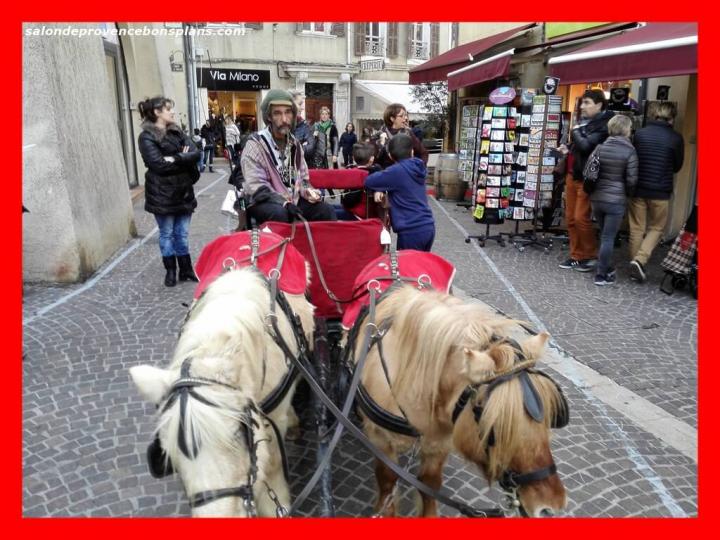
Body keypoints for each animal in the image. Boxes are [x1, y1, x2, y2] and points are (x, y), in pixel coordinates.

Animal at [352, 284, 568, 516]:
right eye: (495, 427)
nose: (551, 506)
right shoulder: (380, 439)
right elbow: (387, 482)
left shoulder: (438, 442)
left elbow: (429, 482)